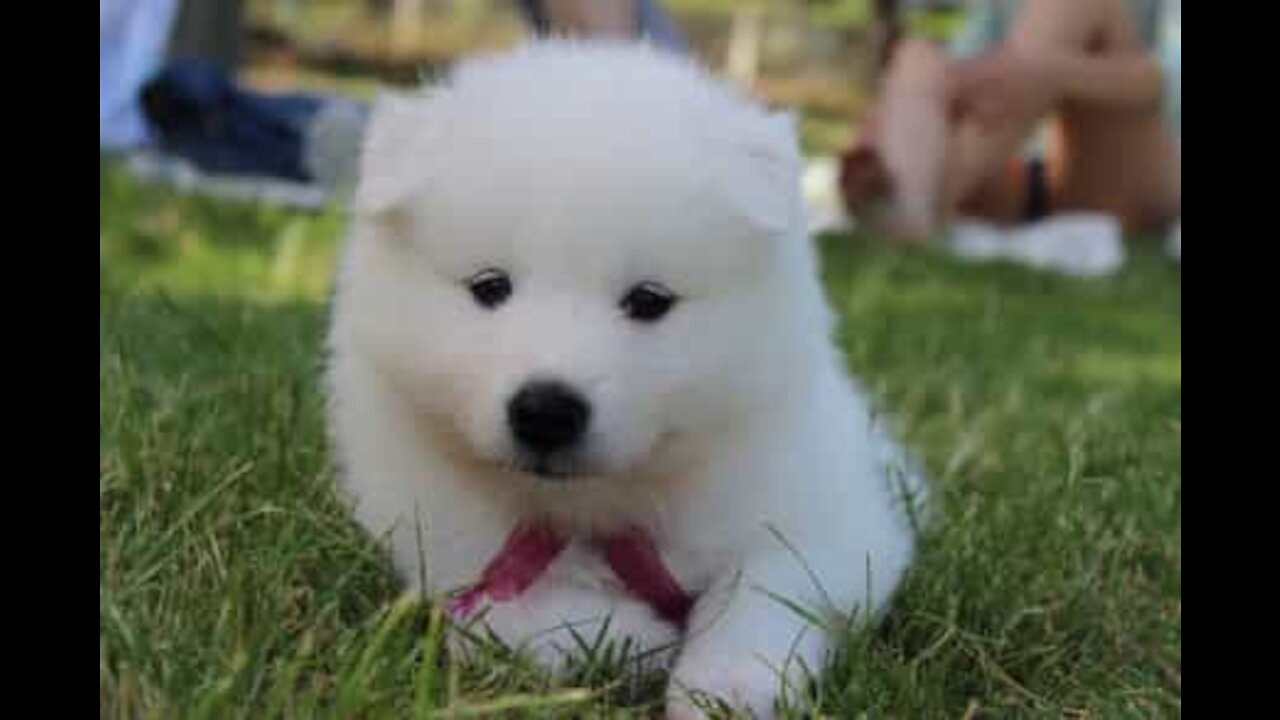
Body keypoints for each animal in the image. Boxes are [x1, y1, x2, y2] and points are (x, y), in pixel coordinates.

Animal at [325, 40, 926, 717]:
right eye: (489, 287)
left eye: (649, 300)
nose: (546, 412)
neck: (600, 506)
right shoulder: (445, 548)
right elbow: (513, 616)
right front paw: (638, 642)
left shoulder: (832, 521)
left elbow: (766, 588)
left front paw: (727, 687)